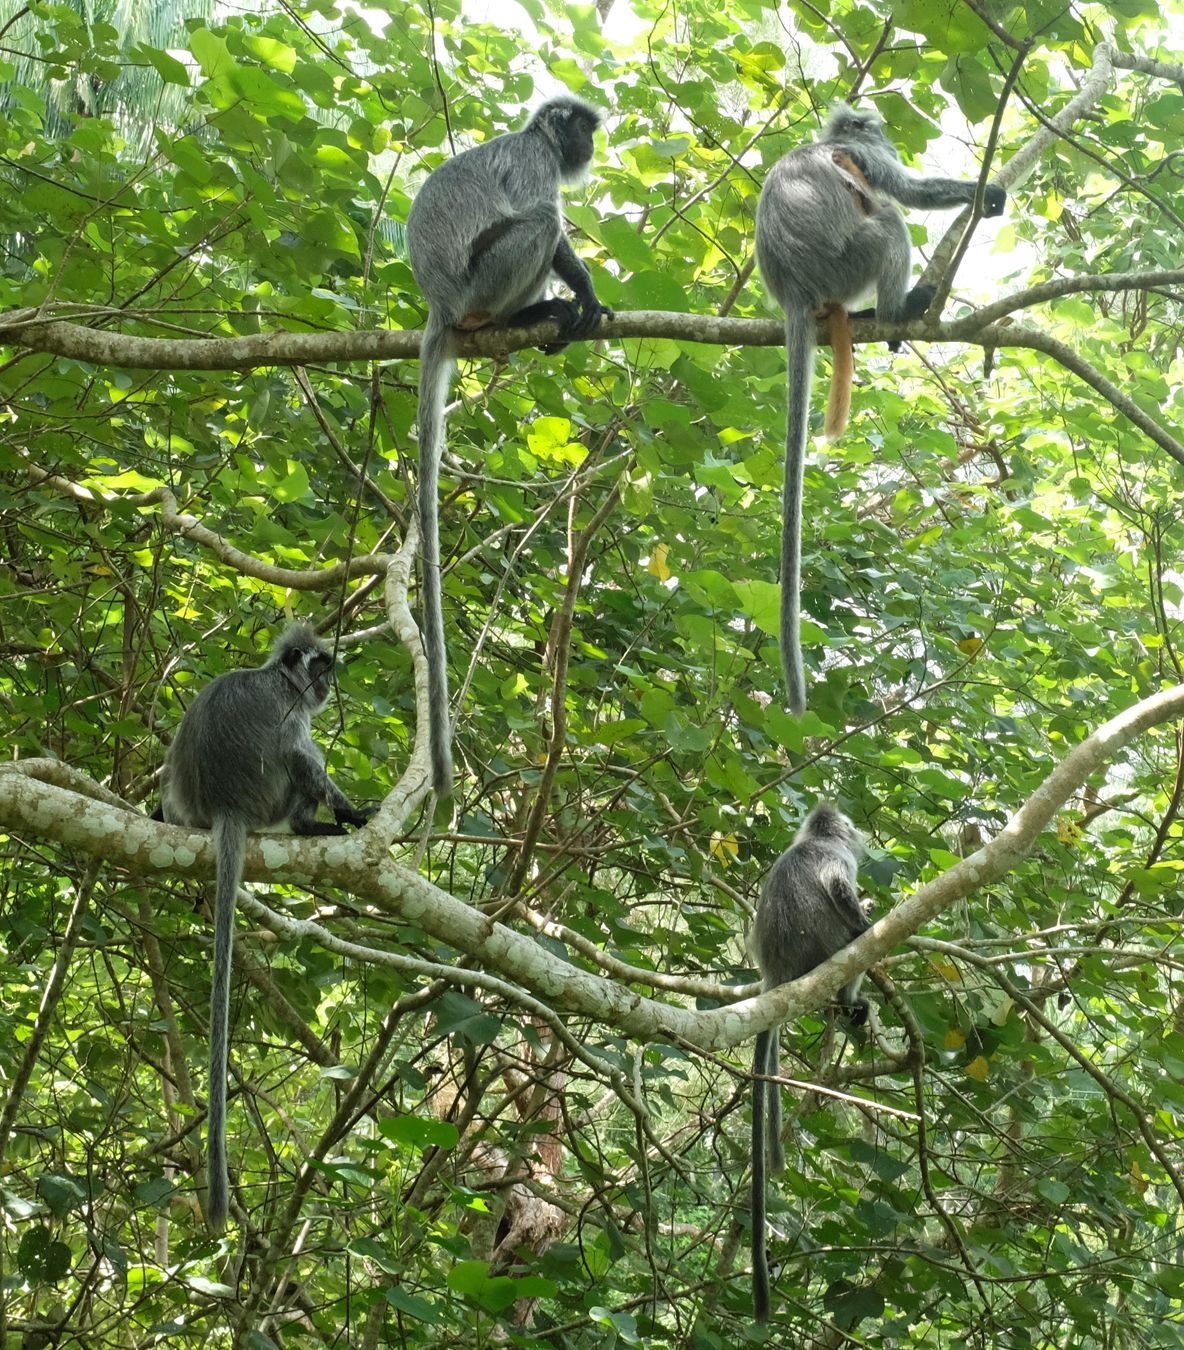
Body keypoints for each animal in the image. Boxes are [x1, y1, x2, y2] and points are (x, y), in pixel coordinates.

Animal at [405, 97, 610, 799]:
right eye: (584, 128)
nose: (593, 146)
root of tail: (441, 305)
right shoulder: (534, 161)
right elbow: (545, 216)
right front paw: (588, 294)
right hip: (483, 281)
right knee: (541, 223)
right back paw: (518, 318)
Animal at [756, 105, 1004, 718]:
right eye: (874, 130)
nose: (883, 131)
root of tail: (795, 291)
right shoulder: (867, 160)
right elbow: (908, 192)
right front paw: (986, 192)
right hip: (849, 260)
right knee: (890, 219)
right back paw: (899, 309)